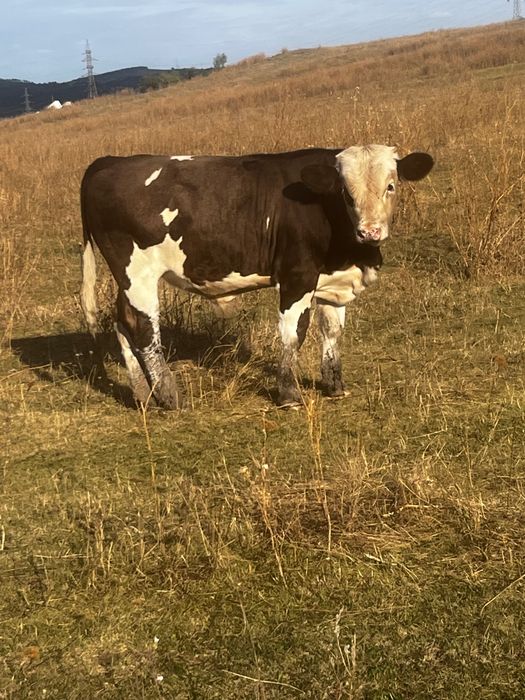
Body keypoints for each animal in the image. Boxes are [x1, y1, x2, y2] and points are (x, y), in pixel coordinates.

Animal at [80, 145, 433, 409]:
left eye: (391, 186)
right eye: (346, 192)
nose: (370, 231)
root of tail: (108, 161)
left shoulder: (333, 282)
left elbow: (332, 331)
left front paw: (334, 385)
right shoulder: (296, 276)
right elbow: (294, 333)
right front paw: (289, 394)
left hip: (127, 279)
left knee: (123, 322)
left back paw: (143, 394)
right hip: (137, 272)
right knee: (143, 330)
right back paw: (169, 396)